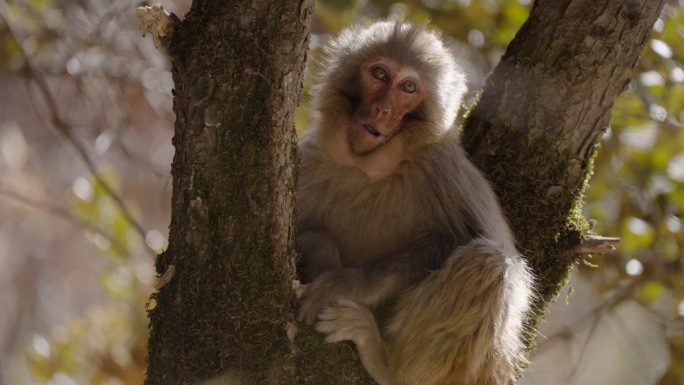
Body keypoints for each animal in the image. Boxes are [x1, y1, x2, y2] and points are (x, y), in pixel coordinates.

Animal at [298, 20, 536, 384]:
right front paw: (317, 248)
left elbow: (461, 239)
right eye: (380, 74)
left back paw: (389, 366)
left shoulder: (441, 168)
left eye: (408, 87)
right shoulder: (306, 163)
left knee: (488, 262)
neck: (368, 166)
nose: (382, 109)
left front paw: (344, 284)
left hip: (475, 368)